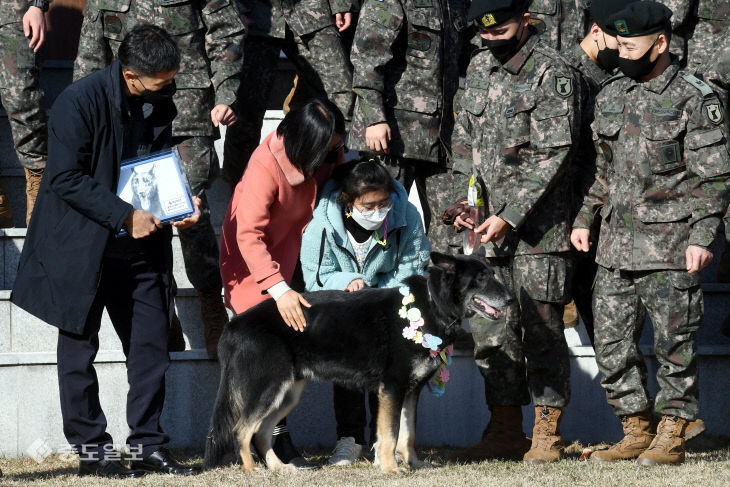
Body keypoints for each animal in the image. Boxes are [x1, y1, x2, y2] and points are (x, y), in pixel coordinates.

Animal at [203, 254, 512, 474]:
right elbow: (390, 434)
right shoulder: (392, 388)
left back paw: (280, 469)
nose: (510, 299)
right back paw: (252, 471)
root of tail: (234, 325)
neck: (432, 304)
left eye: (492, 274)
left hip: (287, 393)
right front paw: (390, 469)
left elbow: (408, 434)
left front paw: (413, 465)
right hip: (268, 388)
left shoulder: (411, 392)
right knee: (242, 430)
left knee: (262, 432)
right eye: (481, 278)